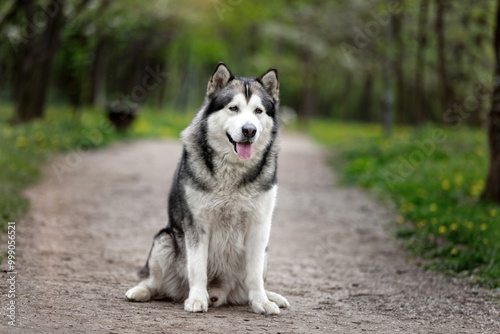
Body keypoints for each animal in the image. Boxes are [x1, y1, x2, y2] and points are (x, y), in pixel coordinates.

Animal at [125, 61, 290, 314]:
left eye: (258, 111)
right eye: (233, 108)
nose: (249, 130)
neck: (232, 172)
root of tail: (221, 294)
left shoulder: (259, 226)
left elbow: (254, 275)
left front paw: (262, 302)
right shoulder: (197, 225)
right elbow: (197, 268)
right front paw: (197, 299)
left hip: (266, 252)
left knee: (246, 288)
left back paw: (269, 296)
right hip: (164, 240)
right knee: (154, 283)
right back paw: (141, 291)